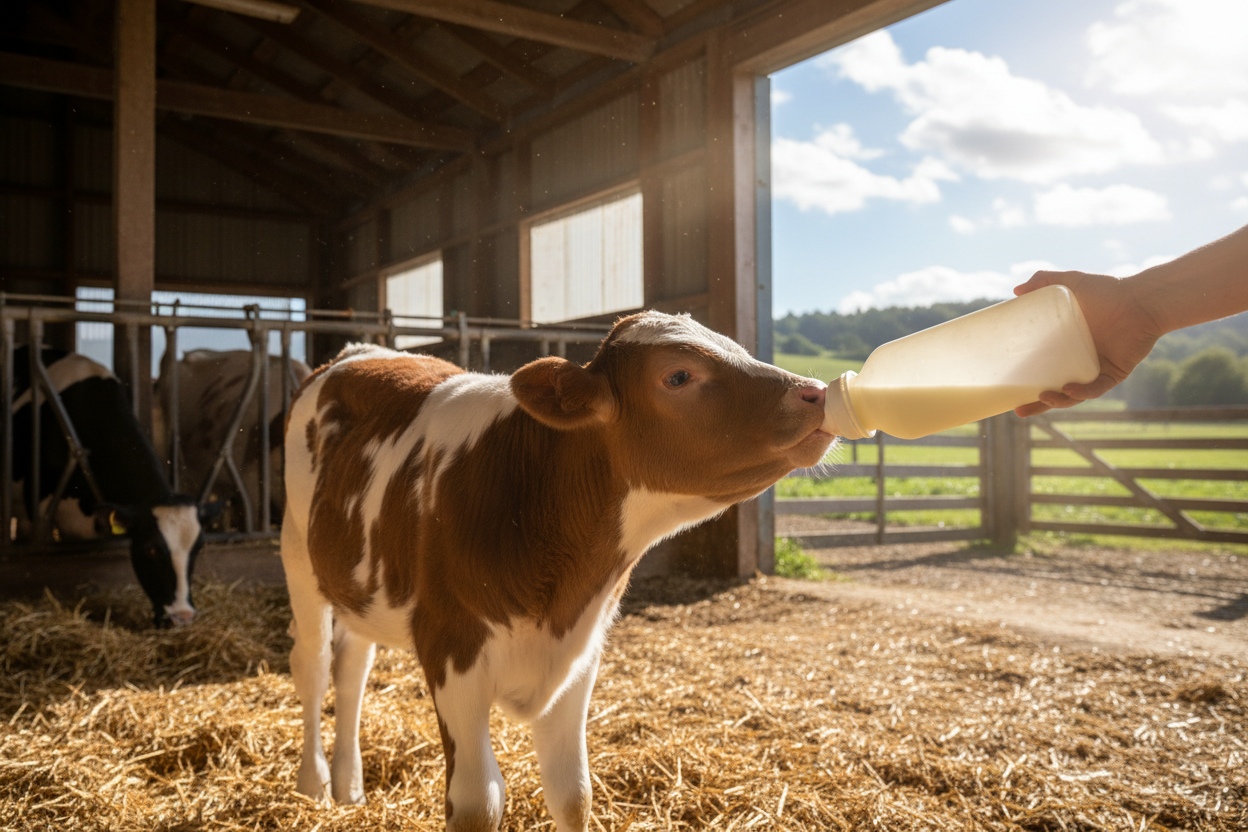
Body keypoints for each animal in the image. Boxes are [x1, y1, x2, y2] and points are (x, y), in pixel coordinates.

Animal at [280, 311, 834, 831]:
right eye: (678, 376)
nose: (816, 393)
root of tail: (356, 351)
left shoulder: (579, 658)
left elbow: (573, 794)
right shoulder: (450, 648)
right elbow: (478, 803)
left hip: (357, 582)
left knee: (352, 666)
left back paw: (350, 787)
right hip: (297, 555)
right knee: (314, 666)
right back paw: (313, 784)